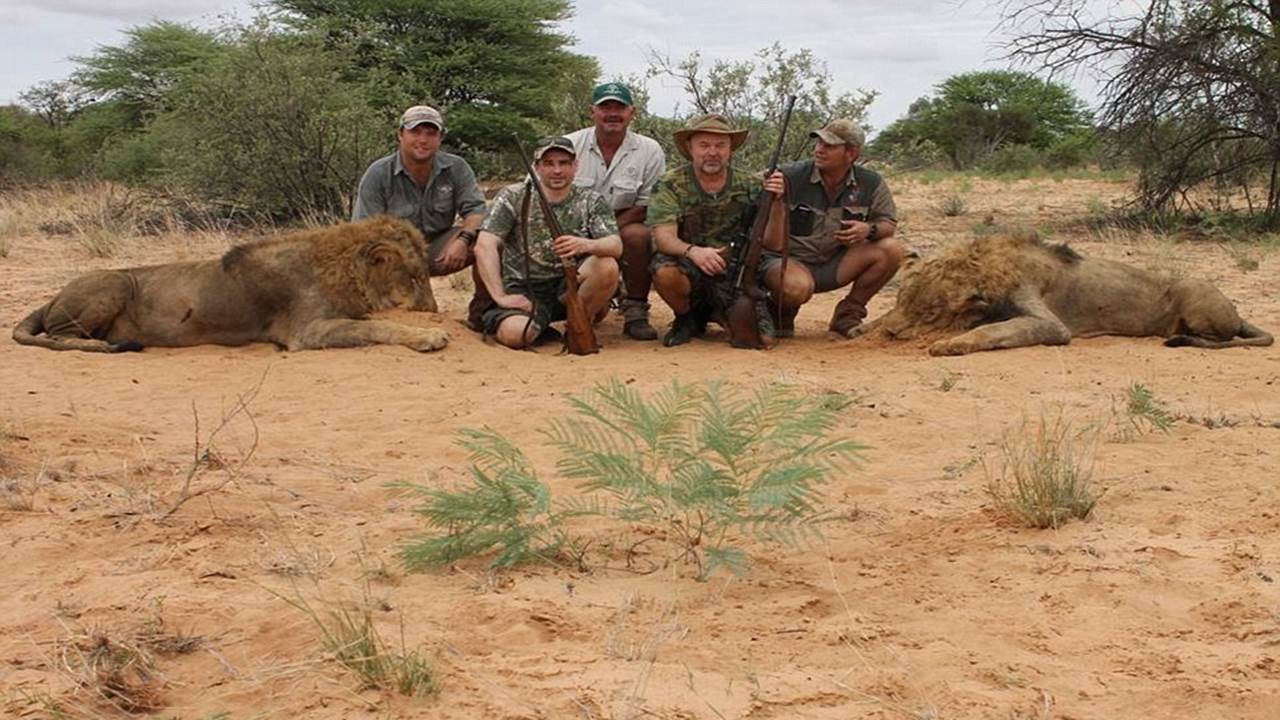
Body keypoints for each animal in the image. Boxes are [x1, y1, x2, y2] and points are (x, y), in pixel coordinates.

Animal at [13, 215, 448, 353]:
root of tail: (51, 296)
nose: (433, 311)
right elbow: (378, 326)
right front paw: (430, 336)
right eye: (414, 275)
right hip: (112, 282)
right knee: (61, 336)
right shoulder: (306, 332)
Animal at [856, 232, 1273, 355]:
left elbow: (994, 330)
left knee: (1220, 338)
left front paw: (951, 344)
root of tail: (1238, 311)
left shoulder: (1052, 324)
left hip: (1194, 288)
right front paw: (865, 327)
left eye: (929, 313)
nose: (890, 334)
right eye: (900, 298)